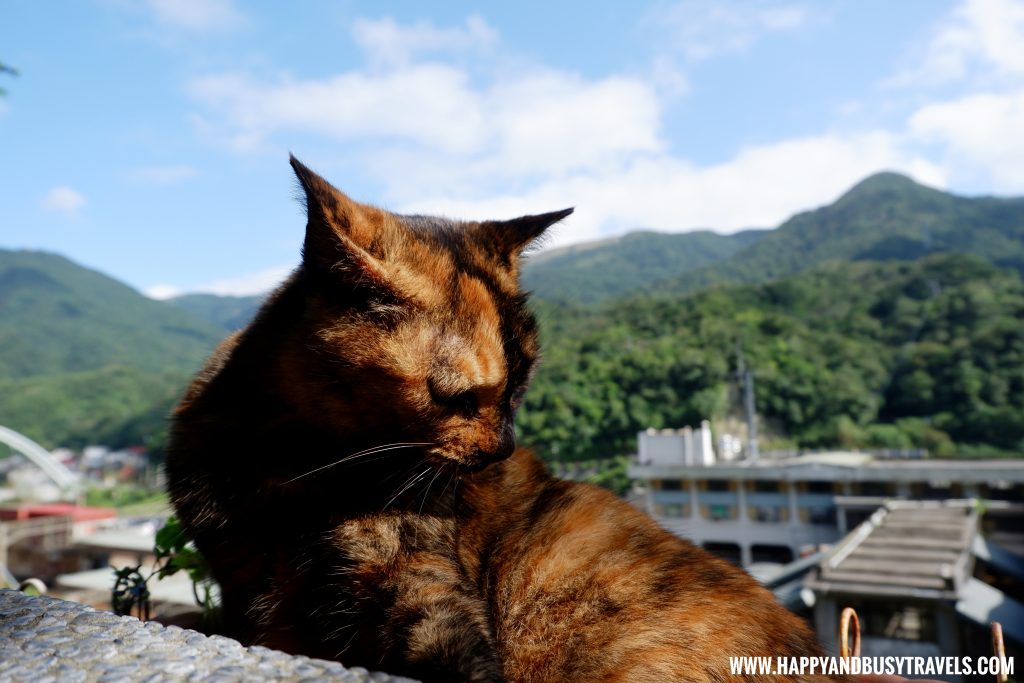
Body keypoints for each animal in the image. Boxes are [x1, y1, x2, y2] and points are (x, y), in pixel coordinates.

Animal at [167, 156, 839, 683]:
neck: (301, 471)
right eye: (461, 399)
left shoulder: (413, 576)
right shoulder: (246, 586)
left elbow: (452, 648)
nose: (504, 449)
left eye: (519, 389)